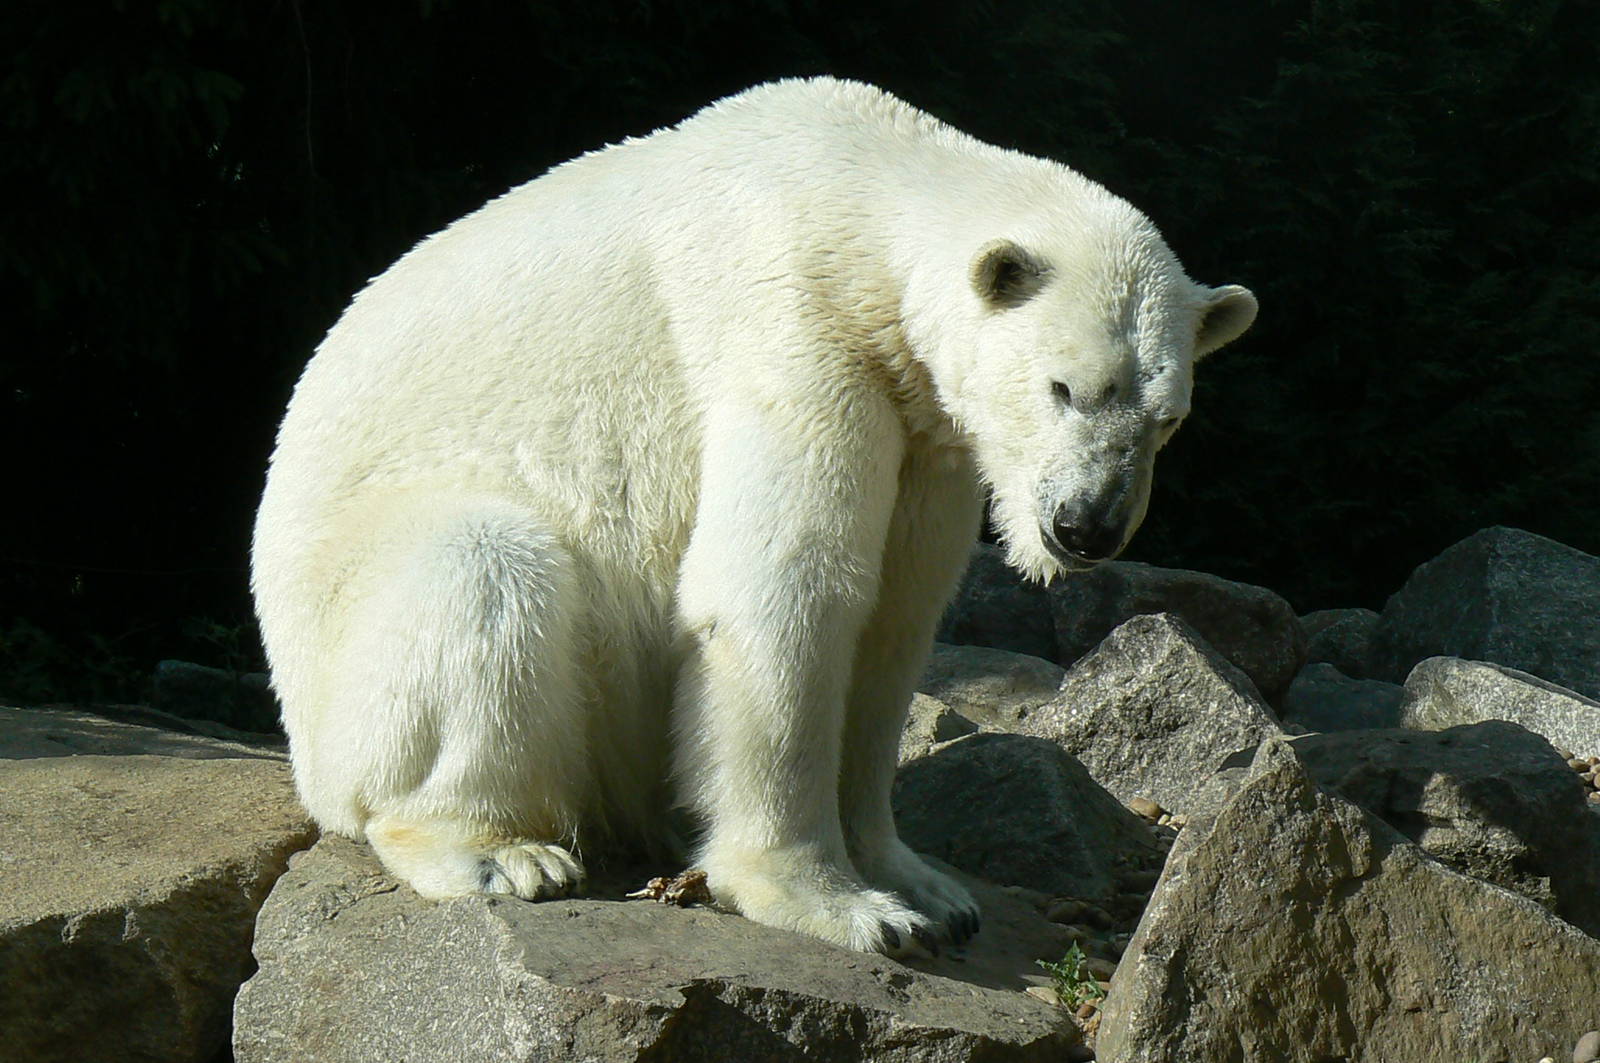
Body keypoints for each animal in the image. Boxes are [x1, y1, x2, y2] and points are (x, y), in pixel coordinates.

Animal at [251, 76, 1257, 956]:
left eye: (1167, 418)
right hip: (350, 625)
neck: (858, 188)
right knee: (481, 570)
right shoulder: (793, 332)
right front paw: (846, 907)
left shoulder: (923, 428)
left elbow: (894, 619)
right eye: (1064, 387)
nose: (1084, 526)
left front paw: (929, 887)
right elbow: (782, 589)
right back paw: (502, 852)